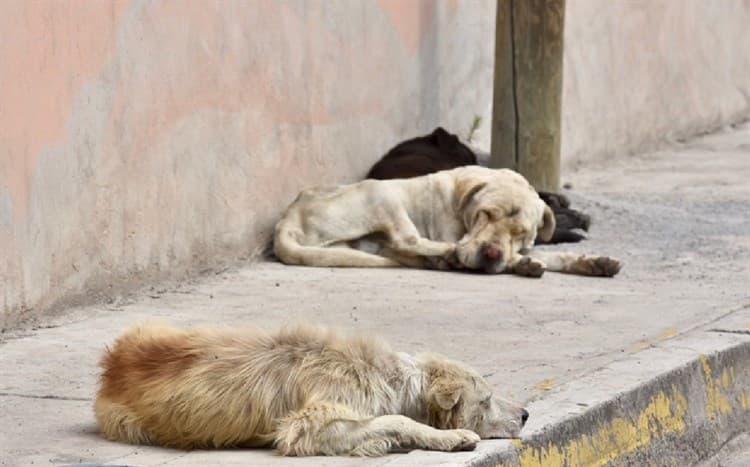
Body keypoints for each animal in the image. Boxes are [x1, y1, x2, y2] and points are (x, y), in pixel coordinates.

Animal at [92, 322, 528, 458]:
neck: (388, 376)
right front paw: (450, 436)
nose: (526, 415)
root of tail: (111, 365)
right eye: (487, 400)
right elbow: (396, 419)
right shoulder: (308, 425)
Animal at [274, 165, 624, 278]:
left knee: (399, 248)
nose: (492, 253)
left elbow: (550, 254)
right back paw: (448, 254)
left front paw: (593, 261)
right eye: (486, 214)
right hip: (381, 192)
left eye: (521, 232)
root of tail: (287, 220)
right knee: (407, 240)